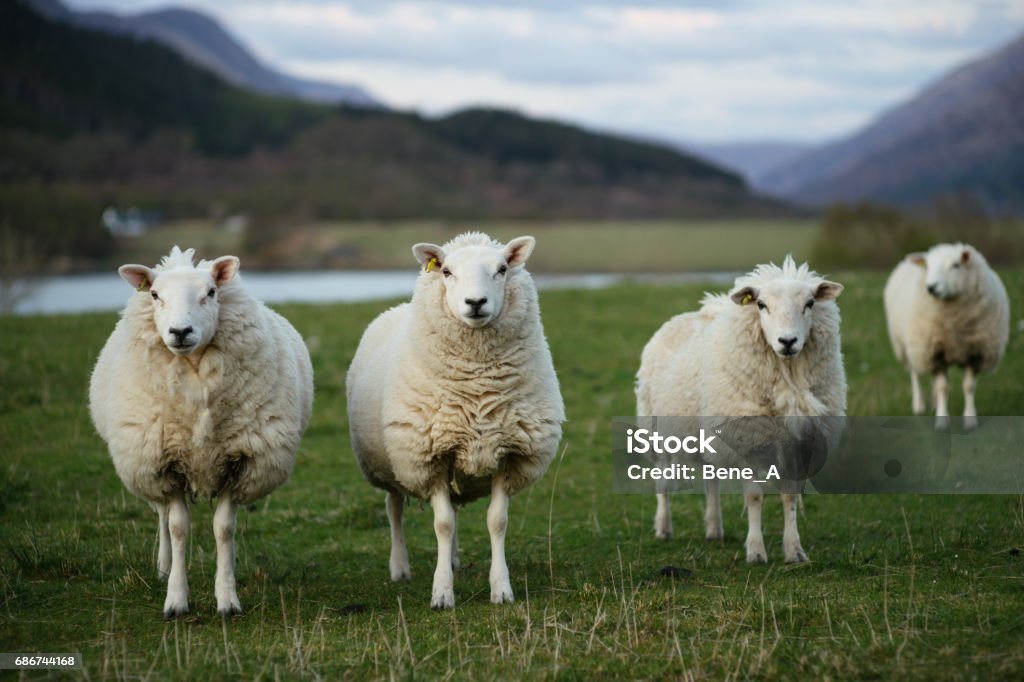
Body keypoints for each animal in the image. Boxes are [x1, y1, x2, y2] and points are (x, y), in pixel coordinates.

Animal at [88, 246, 311, 618]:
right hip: (148, 464)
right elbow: (178, 528)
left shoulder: (239, 462)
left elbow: (224, 529)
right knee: (162, 514)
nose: (180, 331)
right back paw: (163, 568)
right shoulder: (167, 464)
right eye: (154, 295)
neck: (194, 377)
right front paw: (176, 599)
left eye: (211, 292)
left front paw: (227, 597)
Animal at [348, 229, 565, 606]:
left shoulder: (508, 452)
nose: (475, 302)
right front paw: (441, 593)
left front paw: (501, 588)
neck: (477, 385)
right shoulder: (430, 455)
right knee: (394, 509)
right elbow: (443, 524)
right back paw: (400, 567)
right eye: (447, 272)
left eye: (502, 268)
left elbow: (496, 521)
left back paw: (451, 560)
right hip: (391, 463)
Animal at [634, 254, 843, 561]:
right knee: (663, 480)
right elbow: (754, 497)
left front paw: (794, 550)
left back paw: (713, 528)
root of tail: (689, 315)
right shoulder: (748, 441)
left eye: (810, 303)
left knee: (711, 482)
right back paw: (663, 527)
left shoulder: (797, 443)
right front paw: (756, 552)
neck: (788, 379)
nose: (788, 341)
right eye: (761, 304)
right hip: (657, 431)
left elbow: (790, 496)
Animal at [884, 241, 1011, 428]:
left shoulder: (975, 351)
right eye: (928, 266)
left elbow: (968, 387)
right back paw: (919, 405)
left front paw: (970, 419)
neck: (954, 323)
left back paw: (935, 403)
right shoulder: (935, 352)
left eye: (956, 265)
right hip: (911, 347)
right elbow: (943, 387)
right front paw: (942, 421)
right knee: (915, 374)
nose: (931, 288)